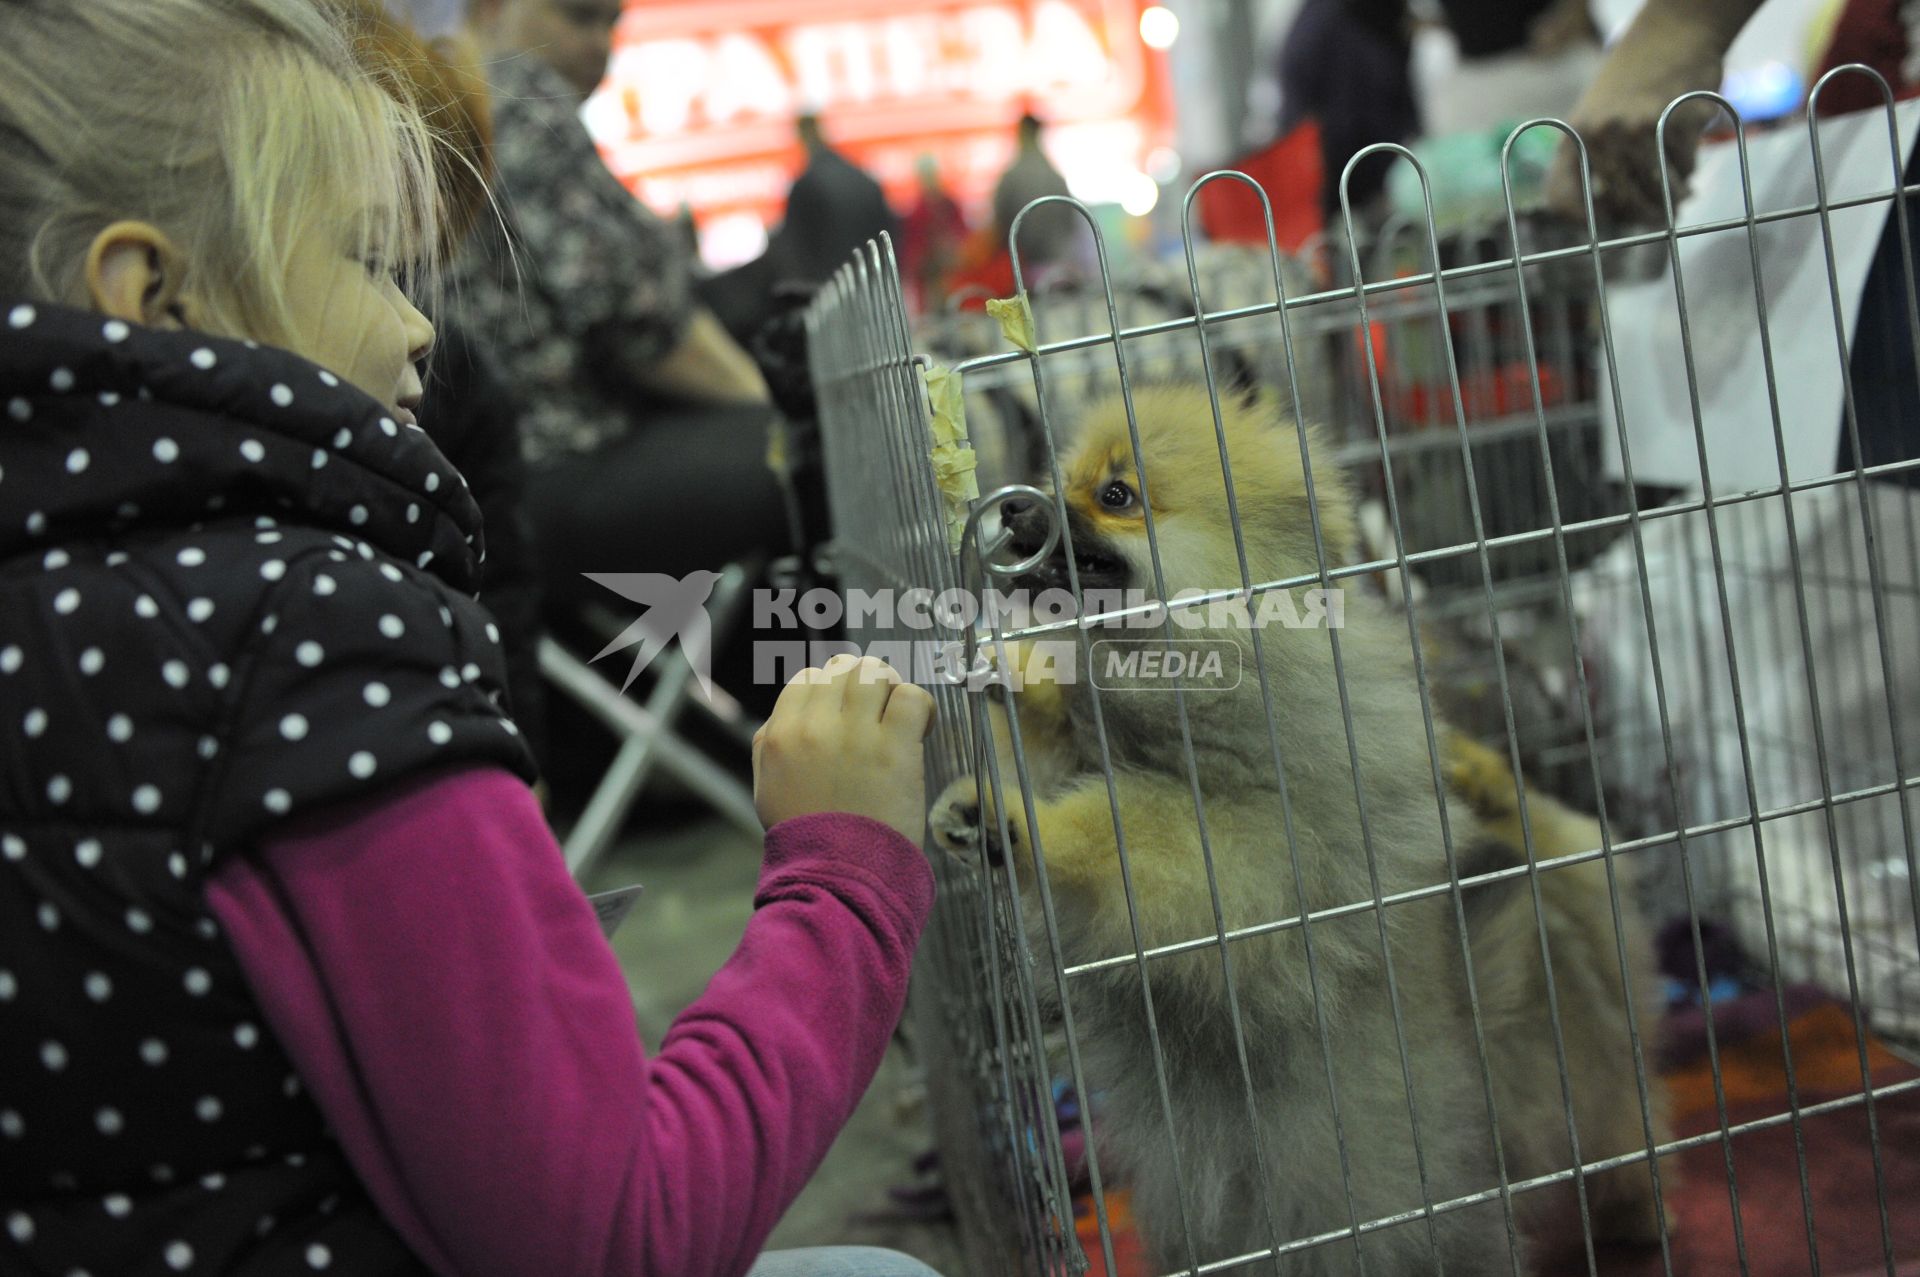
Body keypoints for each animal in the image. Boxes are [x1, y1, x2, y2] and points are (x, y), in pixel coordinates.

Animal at [929, 380, 1666, 1275]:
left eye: (1116, 495)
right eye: (1057, 477)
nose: (1011, 508)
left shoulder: (1247, 848)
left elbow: (1119, 839)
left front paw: (1016, 824)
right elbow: (1051, 736)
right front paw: (1013, 679)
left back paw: (1641, 1219)